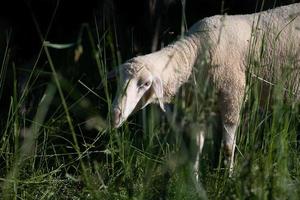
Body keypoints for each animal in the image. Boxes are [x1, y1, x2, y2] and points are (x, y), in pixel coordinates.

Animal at [110, 2, 300, 179]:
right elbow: (197, 145)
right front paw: (195, 178)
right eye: (118, 81)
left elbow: (227, 147)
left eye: (145, 84)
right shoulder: (200, 107)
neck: (194, 53)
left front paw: (228, 179)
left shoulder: (232, 97)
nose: (114, 115)